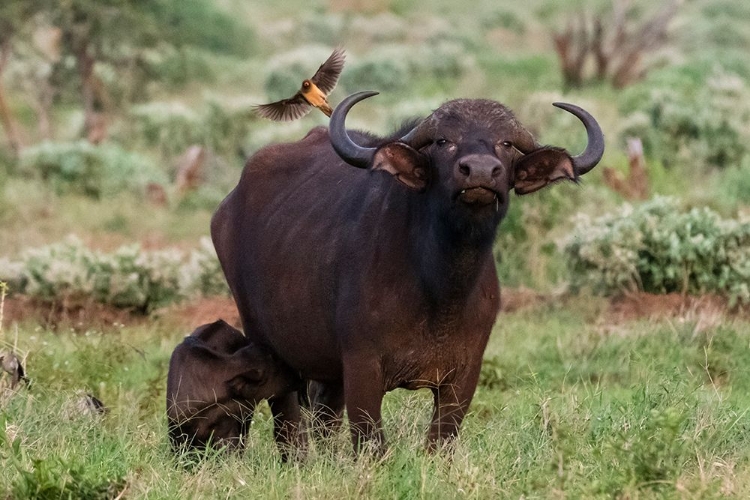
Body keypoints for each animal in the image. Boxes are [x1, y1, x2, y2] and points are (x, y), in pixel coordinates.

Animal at [212, 91, 604, 454]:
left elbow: (440, 442)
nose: (479, 171)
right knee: (289, 422)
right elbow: (371, 444)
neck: (440, 290)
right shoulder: (362, 368)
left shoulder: (463, 376)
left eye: (505, 143)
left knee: (323, 418)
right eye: (444, 141)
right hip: (266, 344)